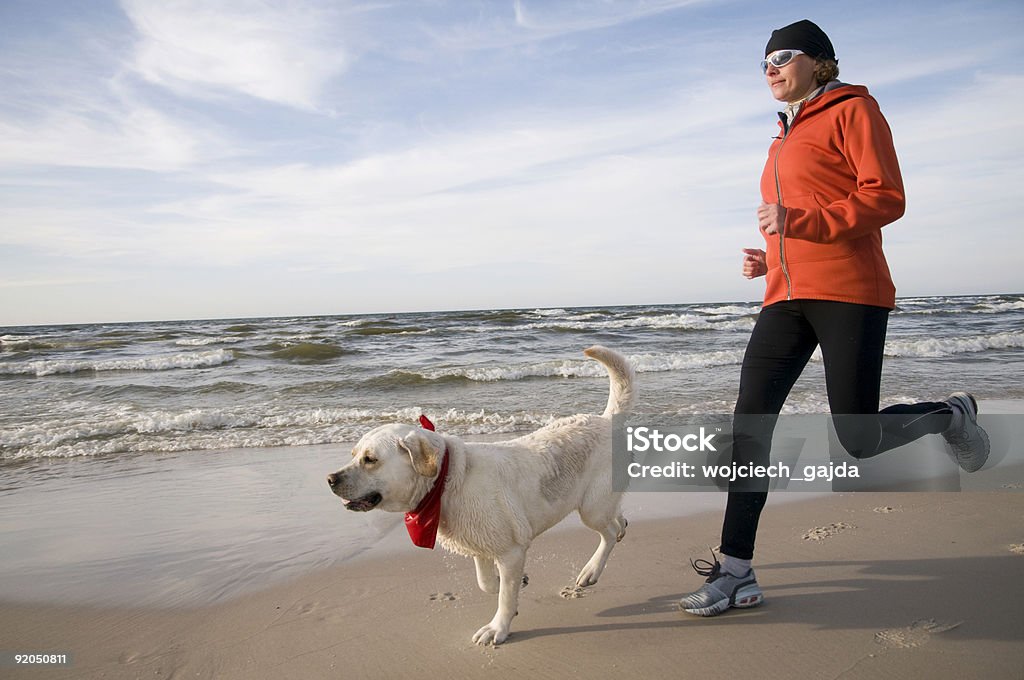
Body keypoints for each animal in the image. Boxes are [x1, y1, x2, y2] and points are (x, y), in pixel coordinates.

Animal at [325, 348, 630, 647]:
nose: (330, 479)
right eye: (353, 455)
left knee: (607, 533)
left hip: (591, 507)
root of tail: (606, 420)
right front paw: (516, 582)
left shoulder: (511, 551)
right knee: (617, 519)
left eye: (370, 459)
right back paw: (621, 528)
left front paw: (498, 628)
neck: (447, 481)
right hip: (600, 503)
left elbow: (504, 596)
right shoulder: (480, 543)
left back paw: (591, 570)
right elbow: (486, 582)